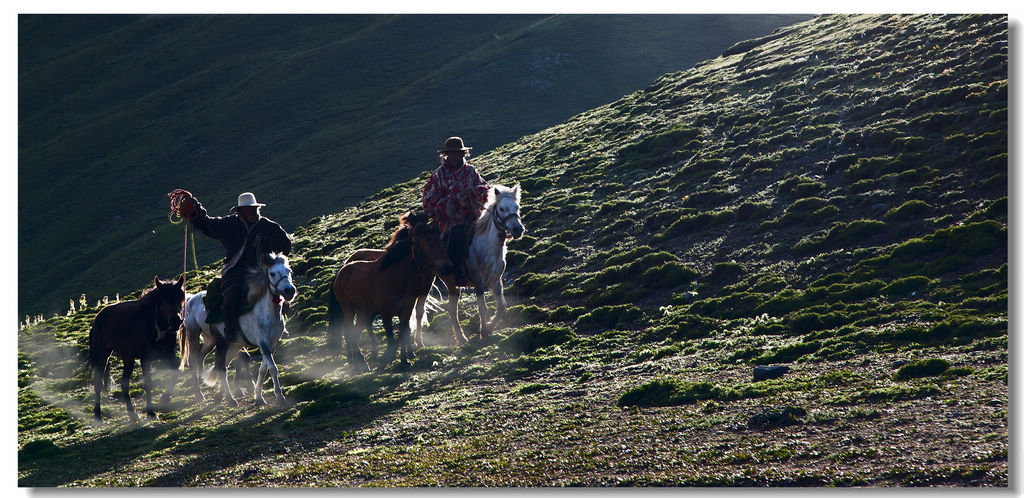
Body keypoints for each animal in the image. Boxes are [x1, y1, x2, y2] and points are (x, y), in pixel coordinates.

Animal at [90, 274, 186, 422]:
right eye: (163, 300)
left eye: (179, 298)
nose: (176, 321)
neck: (156, 326)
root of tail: (98, 317)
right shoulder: (145, 358)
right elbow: (148, 383)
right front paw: (151, 412)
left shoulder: (168, 354)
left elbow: (175, 374)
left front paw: (163, 401)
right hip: (103, 356)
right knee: (98, 383)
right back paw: (98, 414)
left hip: (128, 357)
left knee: (124, 382)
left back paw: (132, 413)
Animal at [180, 251, 296, 405]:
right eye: (272, 273)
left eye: (288, 271)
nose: (289, 291)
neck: (265, 313)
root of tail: (190, 300)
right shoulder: (263, 343)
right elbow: (272, 368)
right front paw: (279, 396)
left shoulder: (272, 344)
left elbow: (263, 369)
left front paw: (258, 396)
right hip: (201, 337)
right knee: (211, 364)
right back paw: (213, 396)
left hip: (219, 342)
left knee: (215, 361)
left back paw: (220, 395)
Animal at [329, 211, 454, 372]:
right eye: (428, 243)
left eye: (441, 241)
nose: (447, 267)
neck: (396, 277)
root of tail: (341, 270)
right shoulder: (386, 313)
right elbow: (391, 338)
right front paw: (388, 358)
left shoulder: (407, 309)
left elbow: (404, 332)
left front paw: (405, 360)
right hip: (348, 308)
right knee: (350, 333)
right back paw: (360, 362)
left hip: (363, 311)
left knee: (355, 332)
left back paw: (359, 361)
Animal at [436, 184, 524, 344]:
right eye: (502, 208)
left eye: (517, 206)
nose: (518, 229)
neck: (488, 248)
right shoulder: (478, 280)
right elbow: (482, 308)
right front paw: (484, 331)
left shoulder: (496, 280)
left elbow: (501, 307)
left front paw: (489, 327)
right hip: (449, 282)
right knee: (449, 310)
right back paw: (460, 337)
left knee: (452, 309)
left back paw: (461, 337)